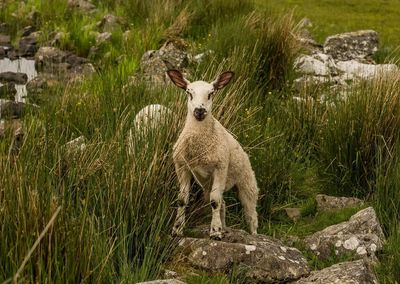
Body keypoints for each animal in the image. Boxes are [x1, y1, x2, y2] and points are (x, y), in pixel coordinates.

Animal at [166, 69, 258, 240]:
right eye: (189, 92)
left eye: (211, 93)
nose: (200, 111)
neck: (200, 146)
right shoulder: (182, 166)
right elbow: (182, 199)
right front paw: (177, 229)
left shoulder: (220, 167)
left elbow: (214, 201)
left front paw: (215, 232)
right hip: (208, 183)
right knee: (222, 203)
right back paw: (224, 227)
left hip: (247, 181)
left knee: (250, 213)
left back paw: (254, 234)